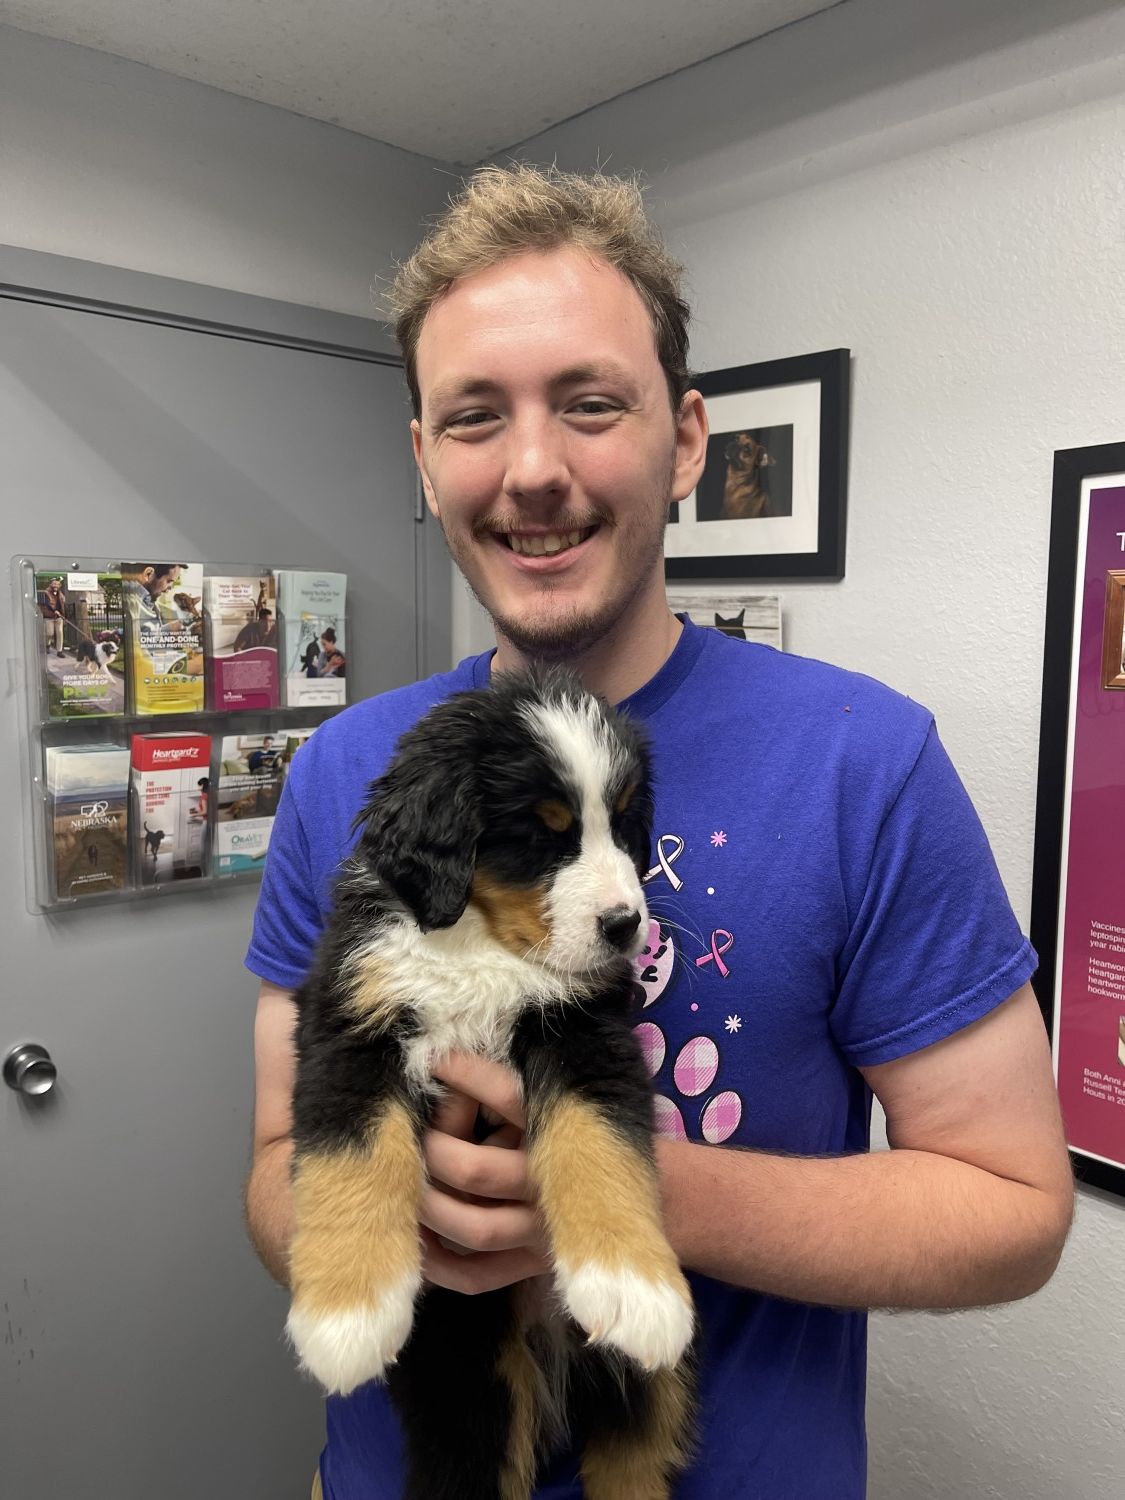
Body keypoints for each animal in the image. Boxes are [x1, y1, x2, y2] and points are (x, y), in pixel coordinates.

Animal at [286, 672, 702, 1500]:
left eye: (626, 828)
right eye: (542, 835)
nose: (625, 926)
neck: (477, 945)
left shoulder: (584, 1031)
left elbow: (599, 1142)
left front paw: (631, 1284)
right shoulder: (349, 1026)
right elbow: (353, 1158)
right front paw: (347, 1315)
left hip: (645, 1394)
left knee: (632, 1459)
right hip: (470, 1378)